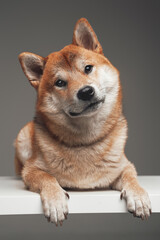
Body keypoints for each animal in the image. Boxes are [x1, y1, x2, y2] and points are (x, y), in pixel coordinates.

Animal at [14, 18, 151, 225]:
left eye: (87, 68)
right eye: (60, 83)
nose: (86, 92)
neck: (85, 141)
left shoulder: (124, 165)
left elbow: (132, 177)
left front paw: (139, 197)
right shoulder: (31, 170)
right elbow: (47, 178)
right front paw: (55, 201)